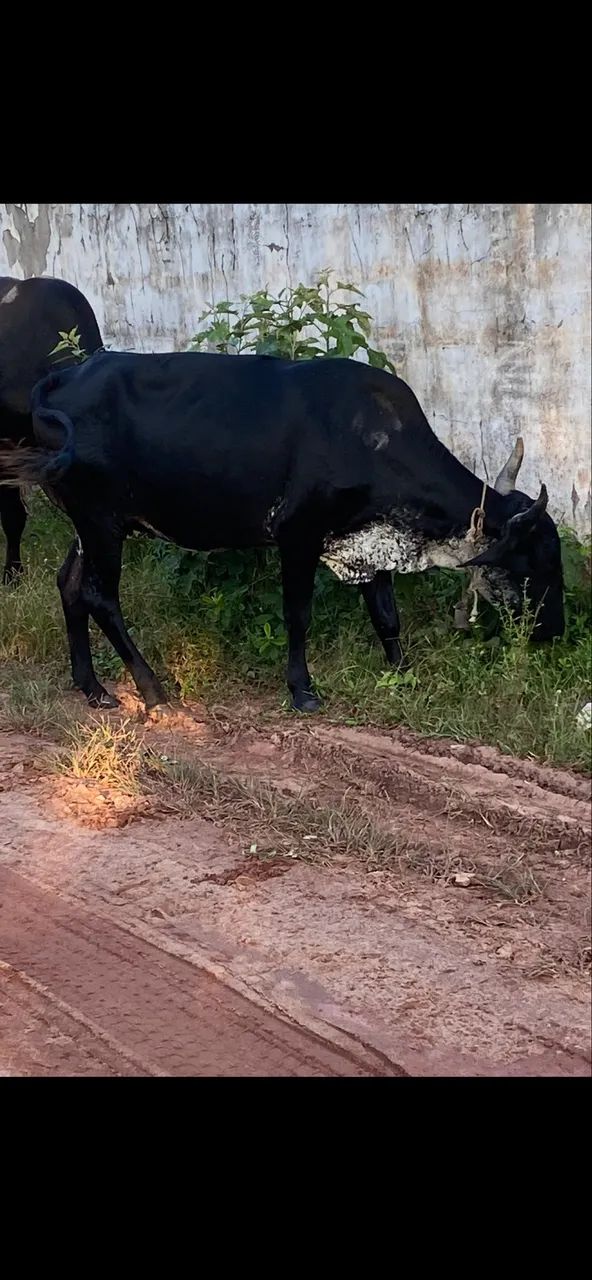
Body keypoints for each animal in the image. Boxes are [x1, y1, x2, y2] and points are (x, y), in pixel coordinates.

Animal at [0, 350, 565, 713]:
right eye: (535, 559)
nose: (554, 631)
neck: (370, 437)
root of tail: (67, 376)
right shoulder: (299, 537)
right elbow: (299, 616)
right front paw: (302, 691)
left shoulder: (368, 543)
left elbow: (387, 617)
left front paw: (403, 672)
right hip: (102, 524)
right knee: (99, 596)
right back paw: (153, 690)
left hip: (90, 525)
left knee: (69, 585)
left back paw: (92, 687)